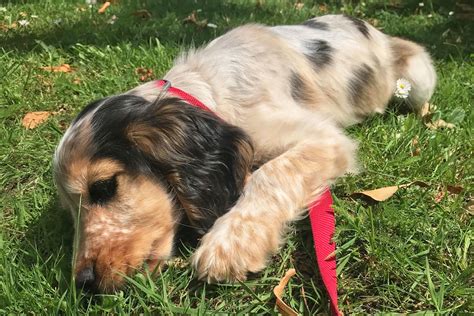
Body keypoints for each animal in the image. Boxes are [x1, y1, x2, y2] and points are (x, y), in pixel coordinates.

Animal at [53, 14, 436, 292]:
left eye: (104, 187)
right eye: (70, 214)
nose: (84, 283)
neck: (211, 90)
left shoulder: (324, 137)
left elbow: (271, 173)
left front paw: (230, 244)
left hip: (420, 76)